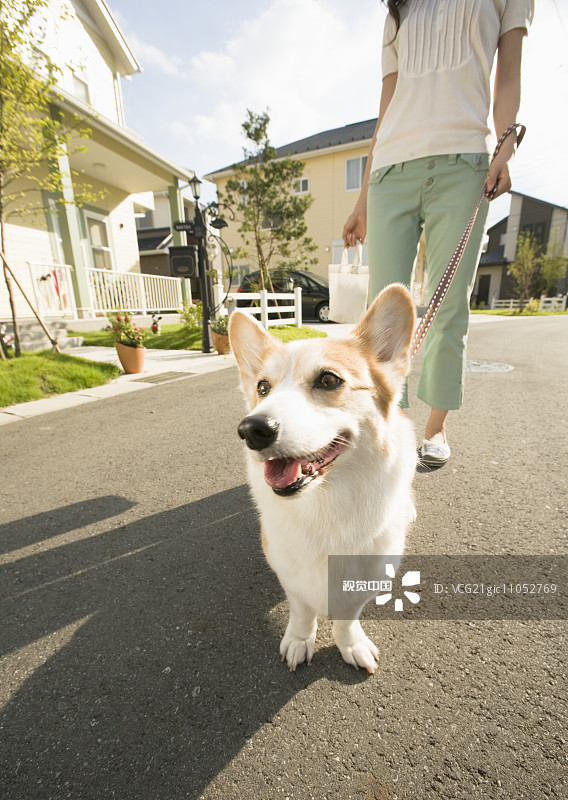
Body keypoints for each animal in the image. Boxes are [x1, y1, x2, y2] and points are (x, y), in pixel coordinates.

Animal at [227, 284, 418, 672]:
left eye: (329, 380)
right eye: (263, 387)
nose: (252, 429)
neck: (325, 502)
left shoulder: (365, 577)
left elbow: (346, 618)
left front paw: (351, 645)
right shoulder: (288, 571)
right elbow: (302, 611)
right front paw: (300, 640)